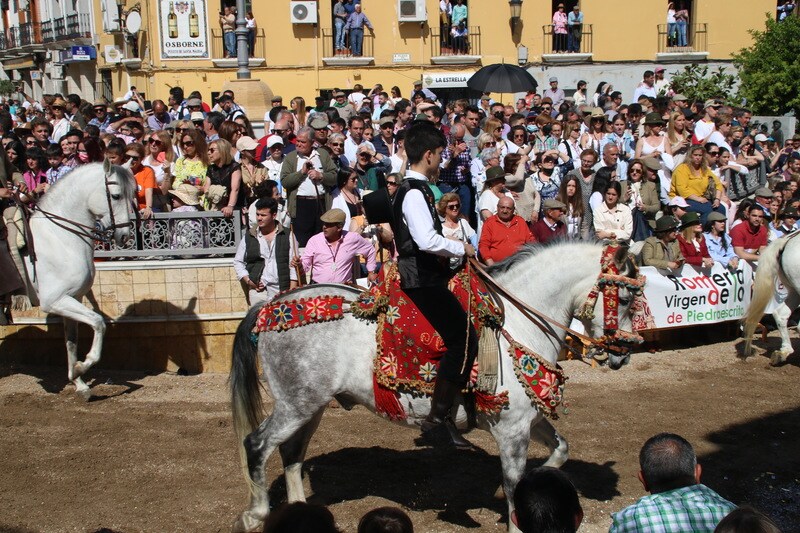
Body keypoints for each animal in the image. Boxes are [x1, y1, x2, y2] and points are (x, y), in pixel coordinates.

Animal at [16, 160, 136, 396]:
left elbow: (71, 341)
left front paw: (78, 381)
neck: (60, 237)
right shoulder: (54, 301)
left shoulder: (73, 298)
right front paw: (83, 366)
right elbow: (98, 322)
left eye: (134, 194)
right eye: (116, 196)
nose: (125, 236)